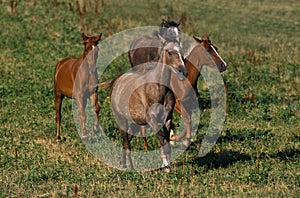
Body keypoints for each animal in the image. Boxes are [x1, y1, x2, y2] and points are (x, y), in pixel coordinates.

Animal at [109, 37, 186, 172]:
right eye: (170, 52)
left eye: (182, 51)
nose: (183, 71)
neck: (159, 88)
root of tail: (118, 81)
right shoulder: (152, 120)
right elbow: (162, 140)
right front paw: (166, 167)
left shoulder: (167, 118)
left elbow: (166, 141)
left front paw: (168, 167)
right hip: (121, 119)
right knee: (126, 143)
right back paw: (130, 167)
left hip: (135, 123)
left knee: (127, 140)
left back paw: (123, 163)